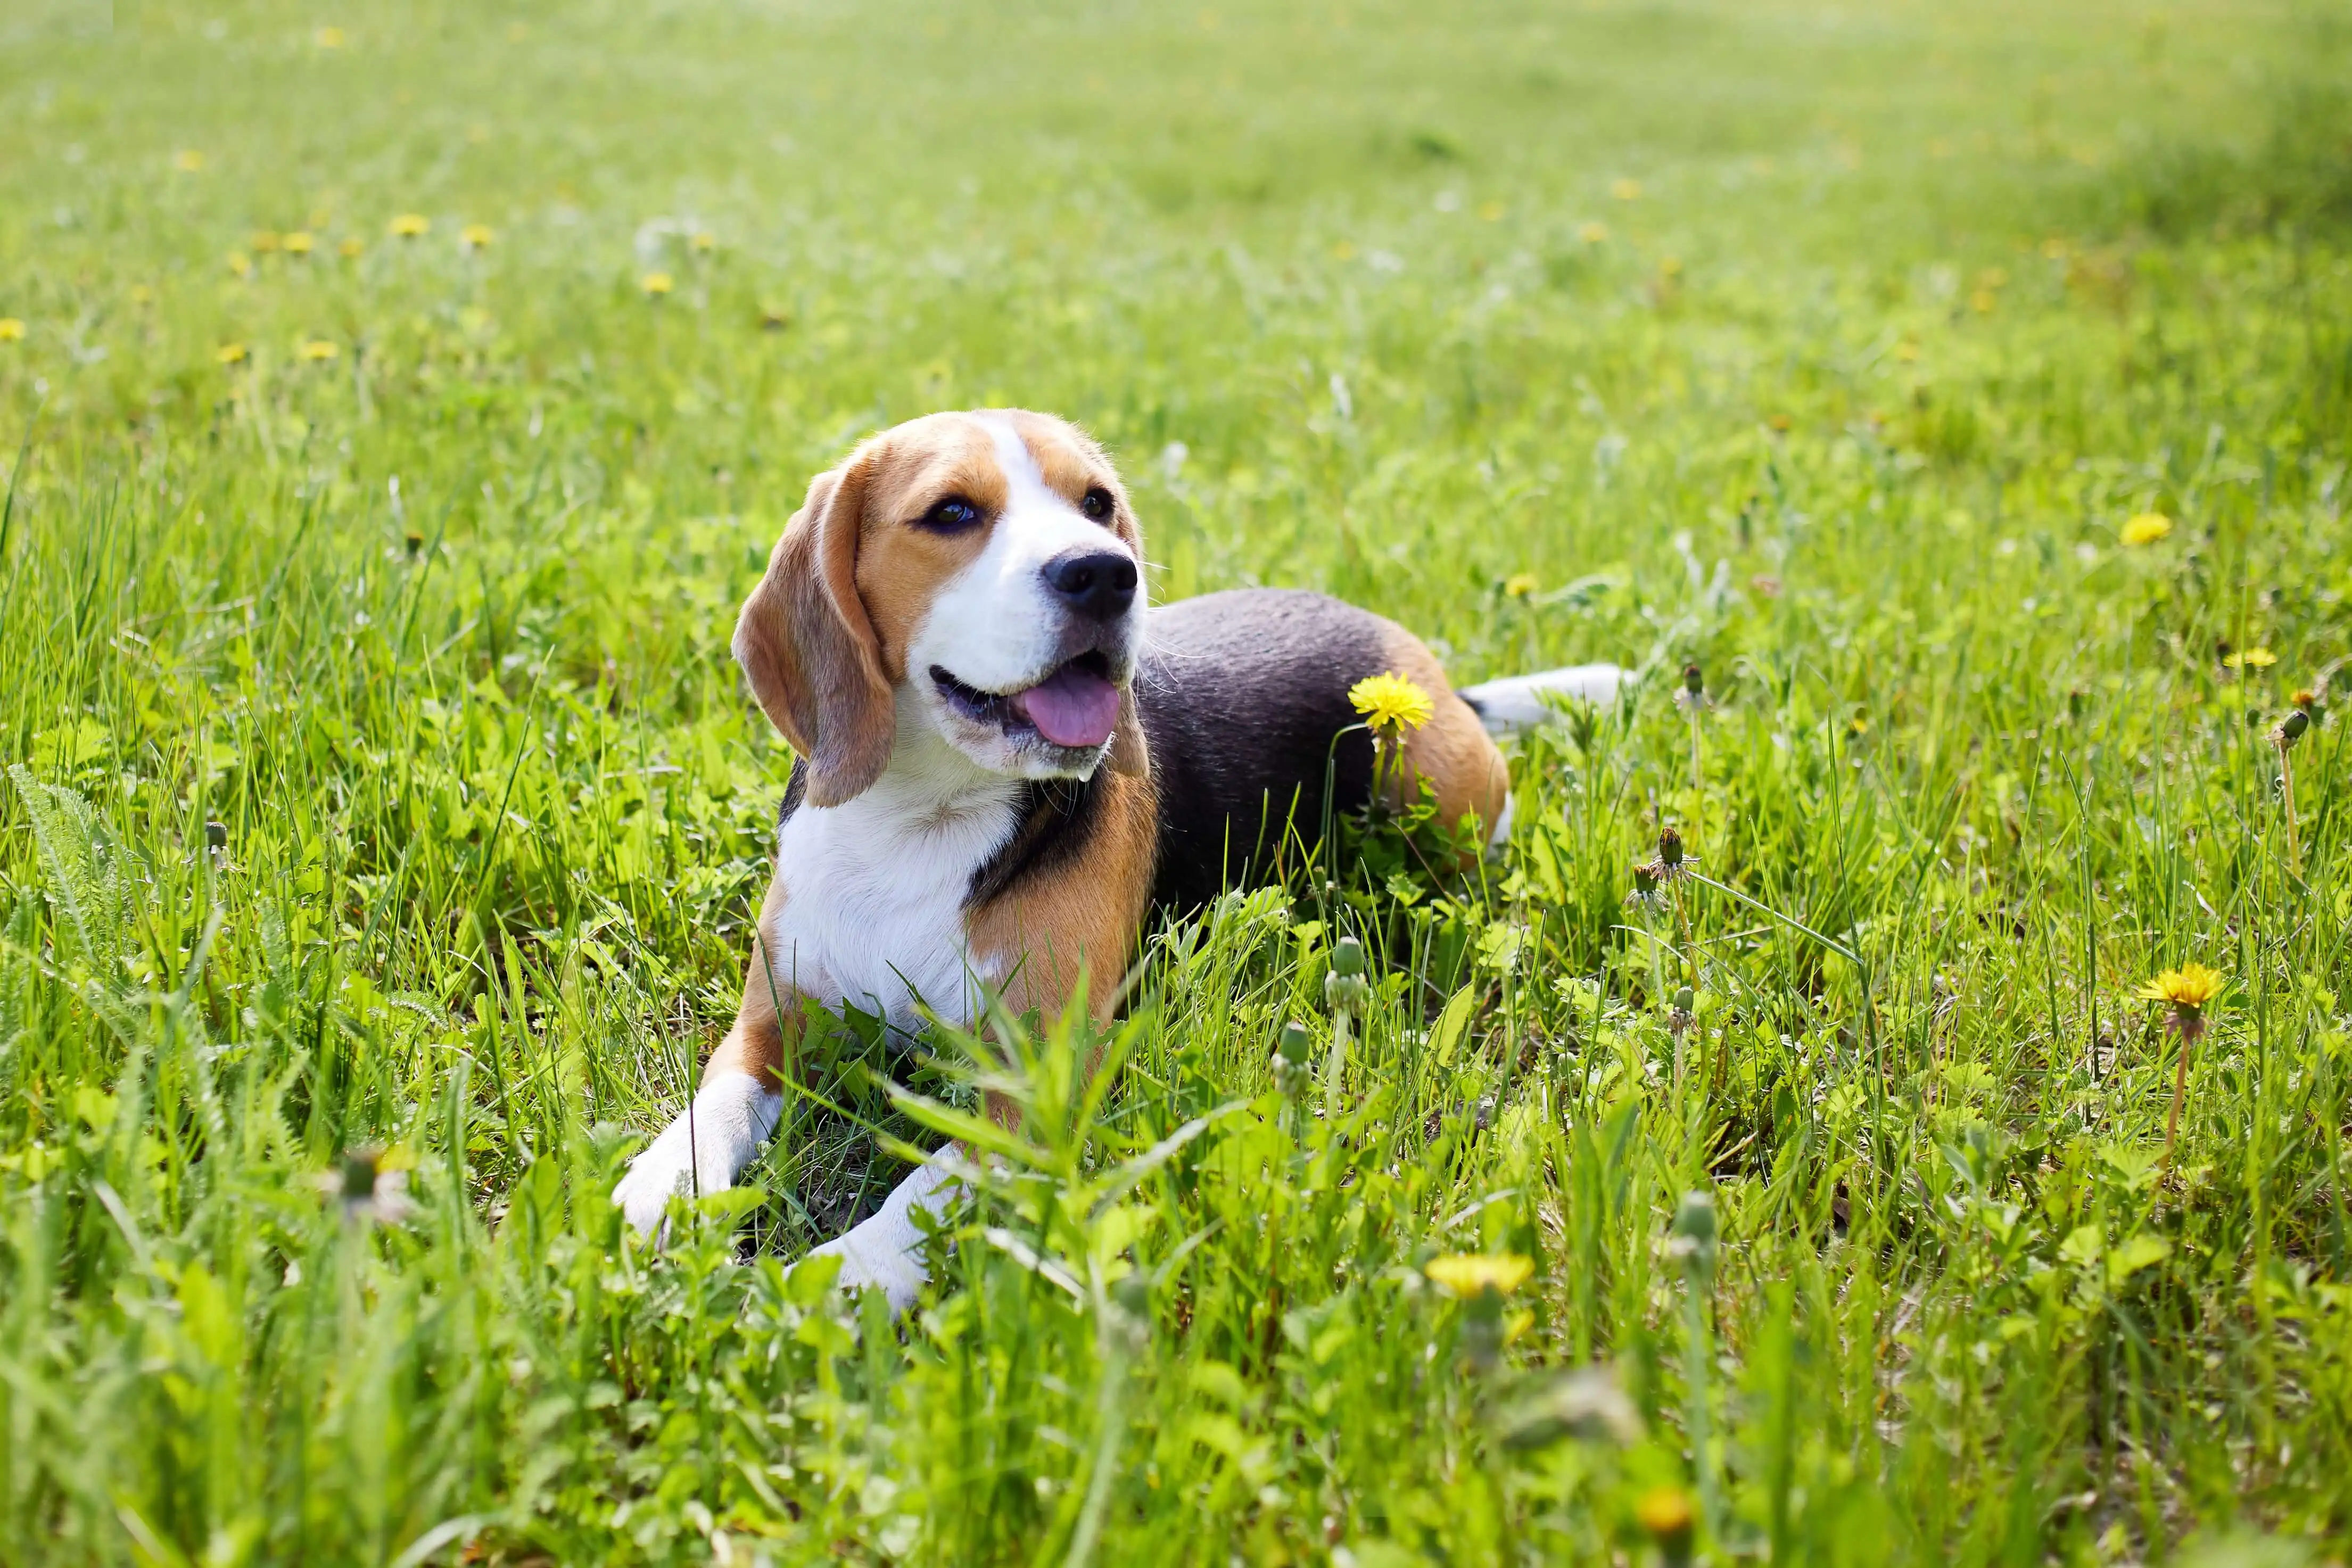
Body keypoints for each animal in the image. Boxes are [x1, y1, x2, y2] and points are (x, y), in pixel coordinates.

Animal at [611, 411, 1618, 1307]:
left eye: (1096, 504)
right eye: (950, 512)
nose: (1103, 573)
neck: (923, 819)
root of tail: (1428, 673)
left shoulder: (1034, 1087)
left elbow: (912, 1199)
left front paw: (829, 1285)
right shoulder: (771, 1027)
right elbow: (711, 1109)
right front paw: (652, 1196)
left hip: (1425, 786)